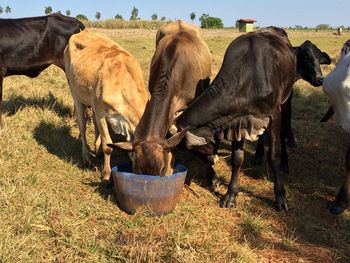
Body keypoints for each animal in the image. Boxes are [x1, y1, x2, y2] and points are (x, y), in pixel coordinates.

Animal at [64, 29, 148, 182]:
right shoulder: (102, 113)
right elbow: (107, 145)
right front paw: (107, 175)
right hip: (75, 93)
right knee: (82, 125)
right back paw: (86, 157)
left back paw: (96, 149)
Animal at [178, 27, 330, 212]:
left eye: (195, 149)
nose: (212, 160)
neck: (248, 75)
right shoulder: (238, 121)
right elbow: (237, 158)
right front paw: (230, 195)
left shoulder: (274, 114)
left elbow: (273, 156)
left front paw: (280, 196)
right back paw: (257, 156)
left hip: (286, 101)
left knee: (285, 129)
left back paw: (285, 161)